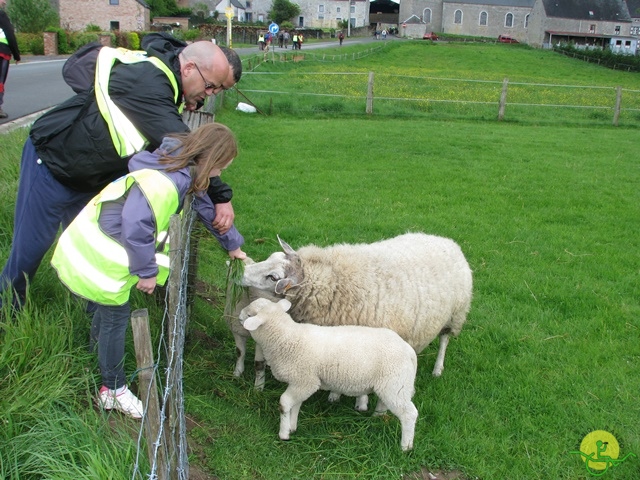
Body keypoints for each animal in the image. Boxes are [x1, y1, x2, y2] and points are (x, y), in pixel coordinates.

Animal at [238, 233, 472, 378]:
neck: (333, 282)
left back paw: (438, 369)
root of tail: (447, 241)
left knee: (444, 340)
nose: (241, 272)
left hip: (455, 314)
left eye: (272, 277)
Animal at [238, 298, 418, 452]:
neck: (286, 338)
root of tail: (409, 351)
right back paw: (376, 418)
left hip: (395, 384)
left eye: (250, 315)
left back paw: (406, 446)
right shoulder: (300, 382)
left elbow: (284, 403)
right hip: (391, 384)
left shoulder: (306, 380)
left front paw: (283, 434)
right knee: (384, 403)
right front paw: (292, 427)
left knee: (409, 414)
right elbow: (296, 405)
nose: (239, 317)